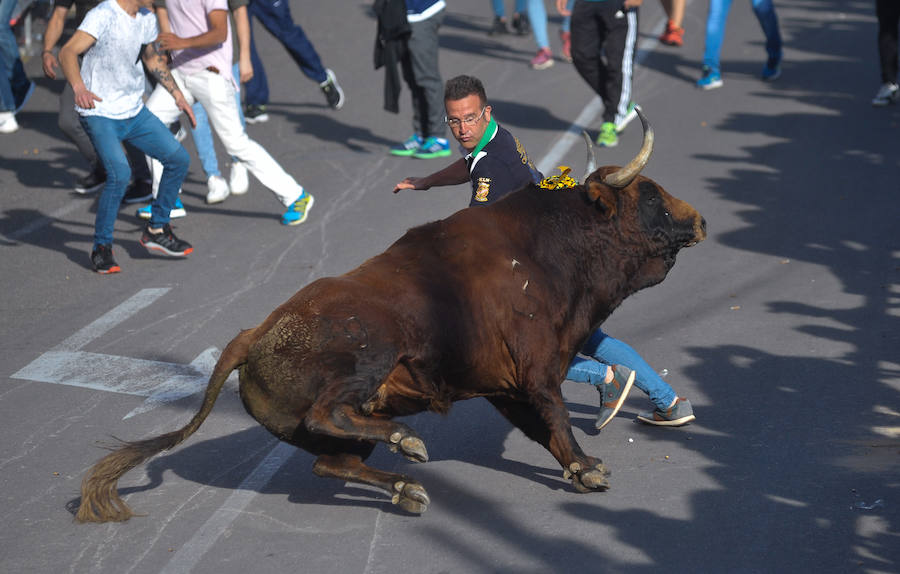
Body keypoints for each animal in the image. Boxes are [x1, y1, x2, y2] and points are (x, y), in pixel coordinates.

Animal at [75, 111, 704, 520]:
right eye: (649, 193)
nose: (697, 219)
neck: (545, 245)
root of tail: (251, 336)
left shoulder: (505, 385)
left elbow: (545, 428)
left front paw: (583, 460)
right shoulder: (536, 369)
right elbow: (556, 418)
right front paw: (589, 468)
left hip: (344, 421)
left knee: (331, 464)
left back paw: (408, 488)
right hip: (368, 358)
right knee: (331, 414)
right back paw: (409, 444)